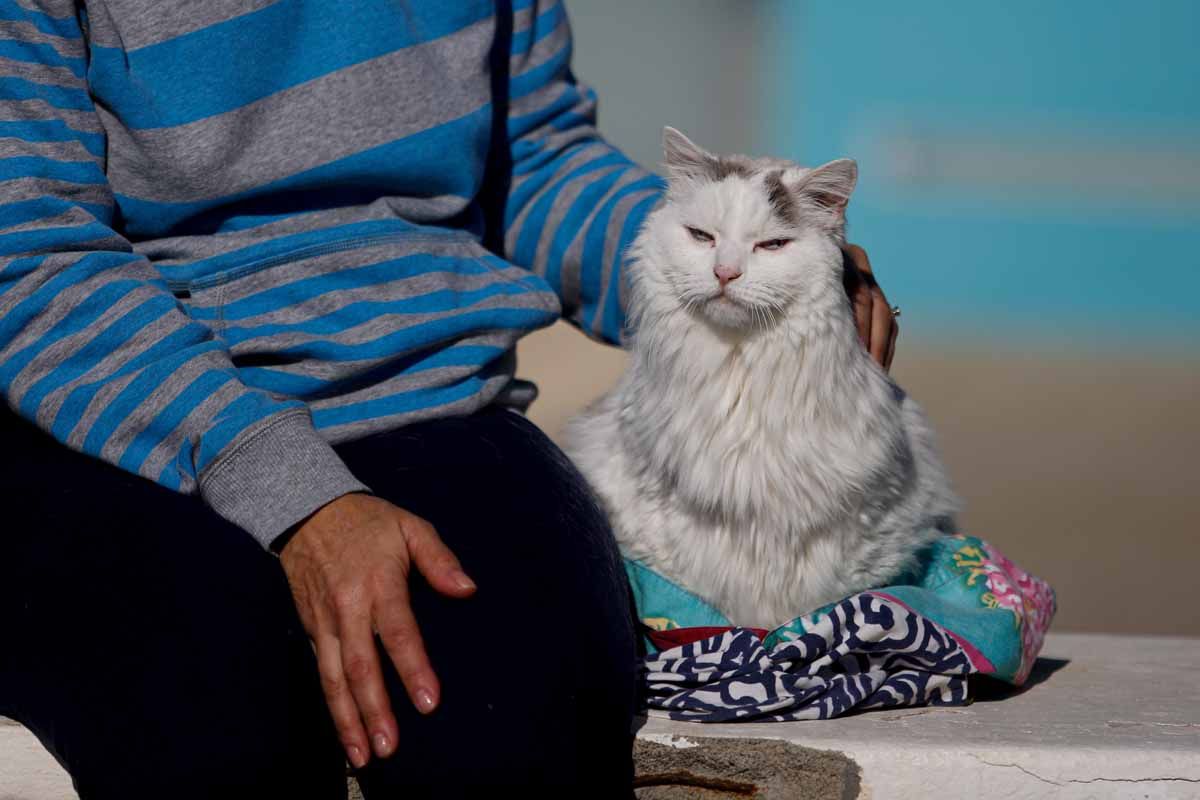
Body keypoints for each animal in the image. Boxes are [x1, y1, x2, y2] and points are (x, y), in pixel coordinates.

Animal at [564, 128, 964, 628]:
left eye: (771, 246)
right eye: (702, 237)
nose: (725, 273)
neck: (739, 371)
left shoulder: (866, 529)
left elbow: (818, 604)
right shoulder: (658, 513)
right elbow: (697, 599)